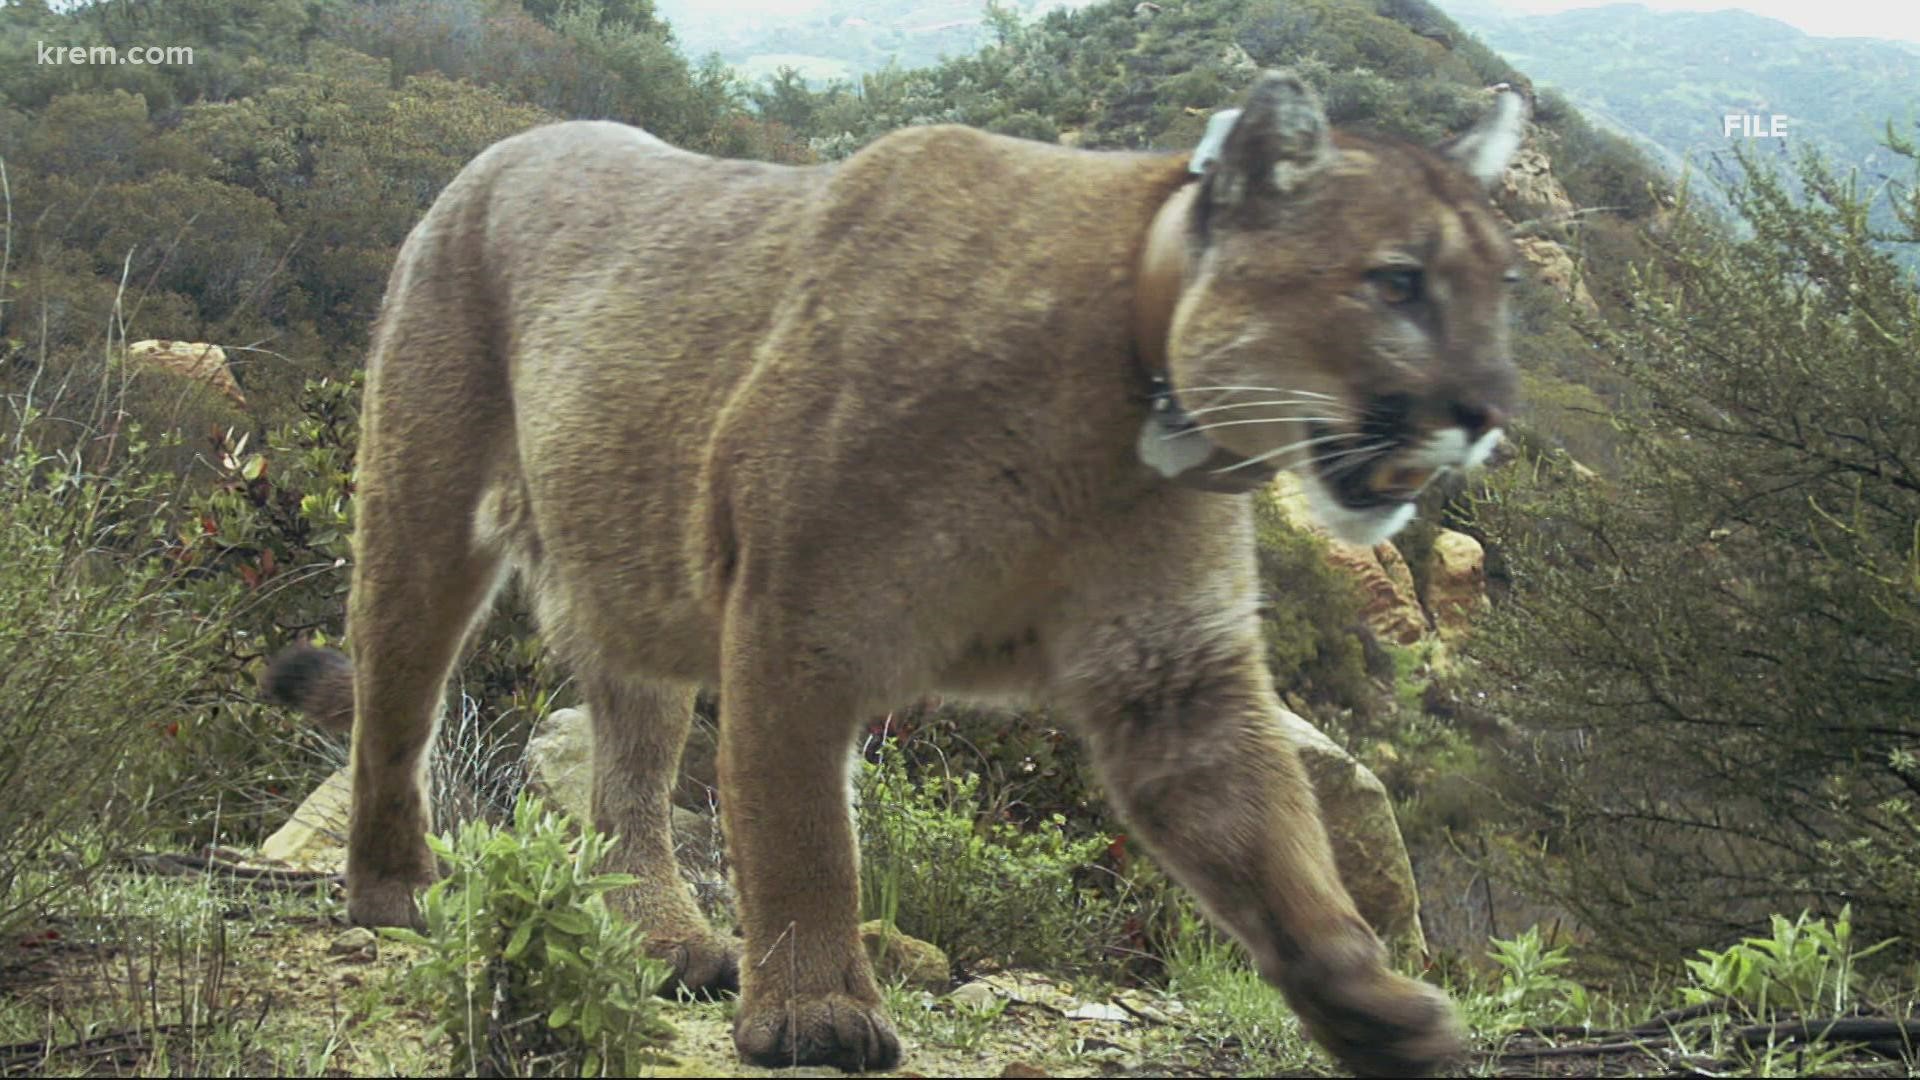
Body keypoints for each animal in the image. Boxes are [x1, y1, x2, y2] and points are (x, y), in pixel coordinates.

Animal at [266, 71, 1528, 1068]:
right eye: (1397, 282)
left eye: (1497, 288)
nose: (1487, 409)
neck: (1123, 403)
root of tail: (501, 148)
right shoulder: (796, 618)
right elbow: (803, 834)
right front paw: (816, 1016)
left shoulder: (1173, 671)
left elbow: (1270, 844)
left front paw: (1376, 1010)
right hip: (424, 510)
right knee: (395, 702)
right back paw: (395, 890)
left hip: (632, 566)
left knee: (627, 762)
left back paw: (666, 939)